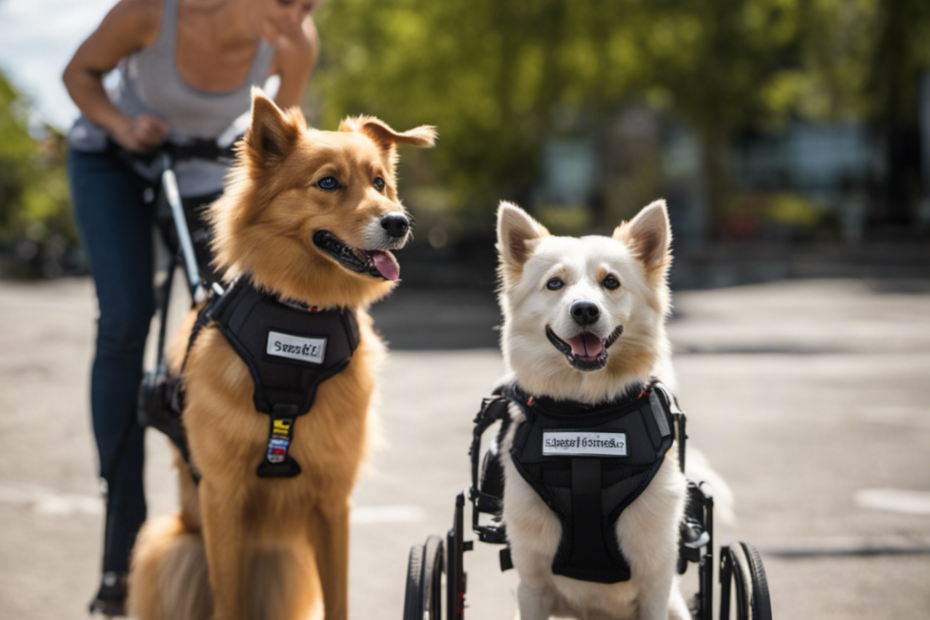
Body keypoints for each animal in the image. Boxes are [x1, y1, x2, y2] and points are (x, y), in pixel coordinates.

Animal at [127, 91, 436, 620]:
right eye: (328, 182)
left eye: (379, 182)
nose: (398, 223)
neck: (299, 315)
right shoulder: (223, 495)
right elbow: (229, 602)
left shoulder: (334, 500)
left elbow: (339, 599)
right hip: (171, 547)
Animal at [492, 201, 688, 616]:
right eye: (554, 284)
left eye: (610, 282)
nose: (585, 311)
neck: (586, 412)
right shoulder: (531, 584)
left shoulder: (656, 582)